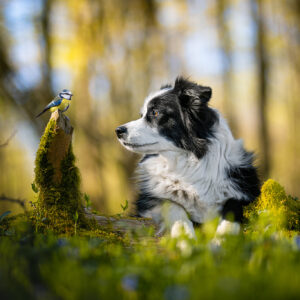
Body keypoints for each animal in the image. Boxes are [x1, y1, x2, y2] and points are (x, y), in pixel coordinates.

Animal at [115, 77, 260, 239]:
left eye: (155, 112)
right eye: (141, 115)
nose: (118, 131)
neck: (187, 163)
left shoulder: (244, 191)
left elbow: (232, 209)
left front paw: (222, 239)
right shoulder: (148, 202)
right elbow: (173, 206)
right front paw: (184, 237)